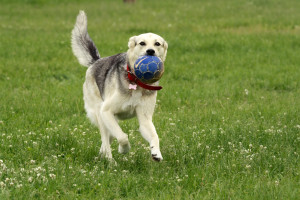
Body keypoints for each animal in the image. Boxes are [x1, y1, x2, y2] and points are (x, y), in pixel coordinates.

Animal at [71, 10, 168, 162]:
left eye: (157, 44)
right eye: (142, 43)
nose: (150, 51)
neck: (136, 82)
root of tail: (96, 61)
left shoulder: (145, 119)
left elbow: (154, 136)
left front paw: (156, 152)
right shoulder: (106, 111)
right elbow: (123, 136)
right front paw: (124, 149)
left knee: (107, 140)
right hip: (100, 114)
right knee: (106, 141)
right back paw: (110, 161)